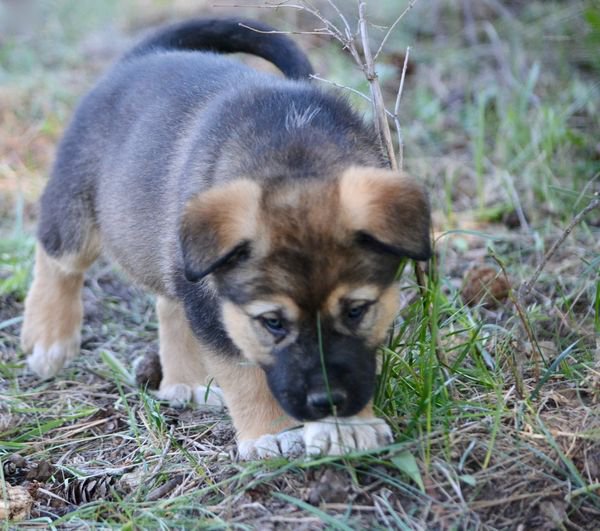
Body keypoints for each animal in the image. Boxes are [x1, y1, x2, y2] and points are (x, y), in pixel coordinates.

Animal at [19, 18, 432, 462]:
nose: (328, 403)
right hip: (76, 209)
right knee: (58, 260)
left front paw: (350, 428)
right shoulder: (219, 313)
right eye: (272, 322)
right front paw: (271, 434)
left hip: (176, 255)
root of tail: (146, 55)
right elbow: (243, 372)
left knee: (169, 303)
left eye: (356, 311)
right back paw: (49, 340)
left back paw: (185, 383)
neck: (296, 160)